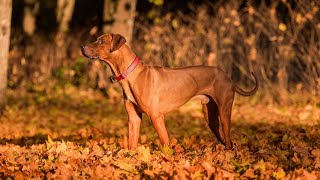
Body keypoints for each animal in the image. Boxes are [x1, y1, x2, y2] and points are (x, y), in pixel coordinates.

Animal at [80, 33, 258, 149]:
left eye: (101, 41)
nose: (82, 47)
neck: (130, 74)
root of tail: (228, 77)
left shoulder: (157, 116)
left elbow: (165, 143)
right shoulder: (133, 118)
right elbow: (132, 144)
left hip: (224, 110)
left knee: (227, 138)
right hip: (210, 115)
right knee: (223, 136)